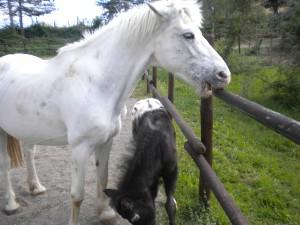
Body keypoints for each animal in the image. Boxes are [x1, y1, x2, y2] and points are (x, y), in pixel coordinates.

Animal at [0, 0, 230, 224]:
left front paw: (105, 214)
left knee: (29, 152)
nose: (224, 74)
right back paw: (11, 204)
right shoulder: (80, 149)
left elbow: (103, 179)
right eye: (188, 35)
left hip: (28, 130)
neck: (96, 85)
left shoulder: (106, 142)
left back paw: (36, 188)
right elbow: (77, 196)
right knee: (5, 165)